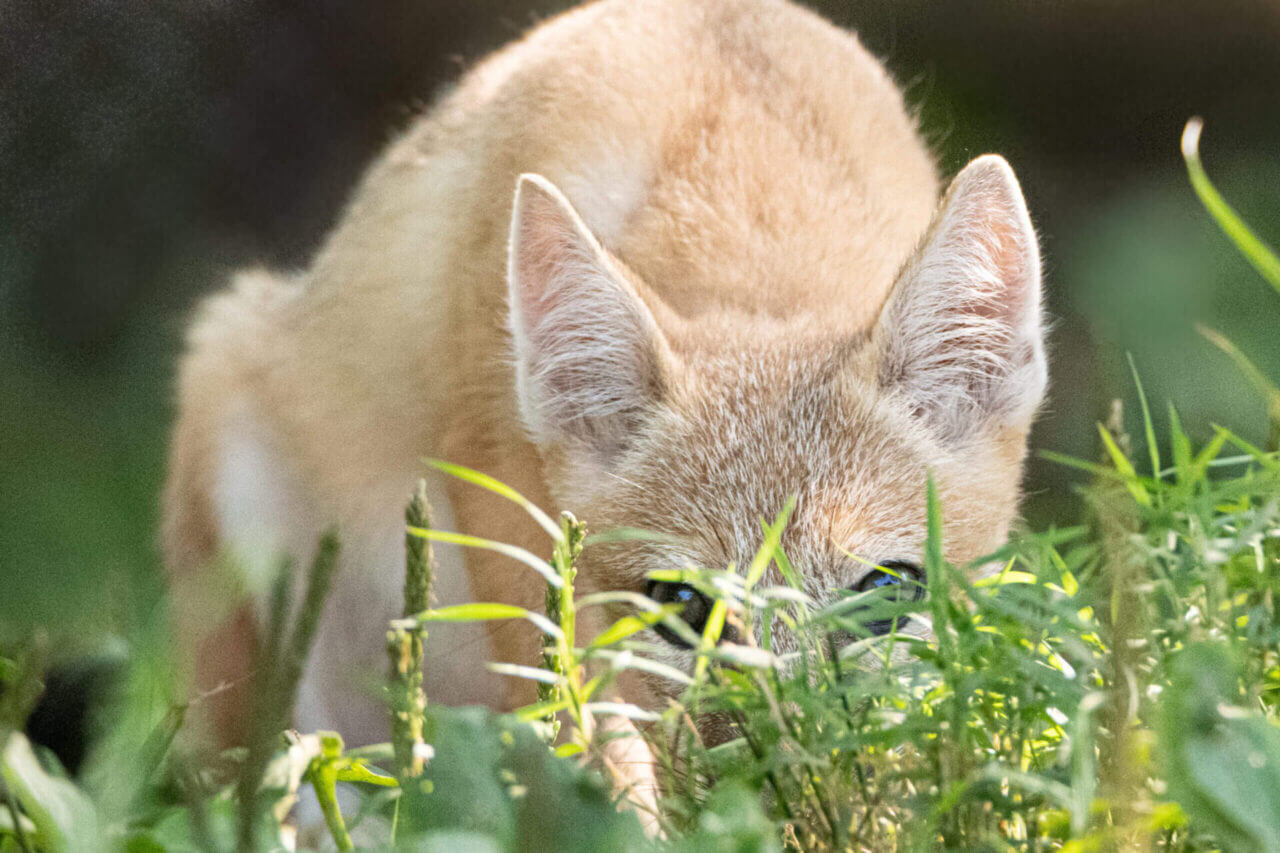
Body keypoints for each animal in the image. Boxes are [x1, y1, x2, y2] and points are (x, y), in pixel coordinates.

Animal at [167, 0, 1049, 753]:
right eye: (684, 604)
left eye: (887, 592)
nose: (788, 771)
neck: (744, 175)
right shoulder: (499, 488)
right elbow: (585, 727)